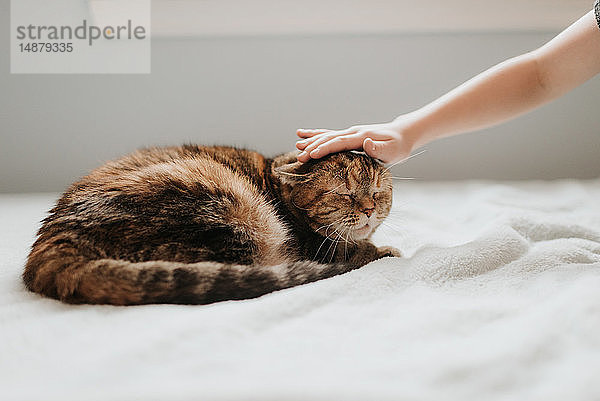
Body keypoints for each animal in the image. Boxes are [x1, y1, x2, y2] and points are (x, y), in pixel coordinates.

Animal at [23, 144, 400, 304]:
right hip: (225, 207)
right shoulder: (320, 247)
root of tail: (54, 239)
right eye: (343, 193)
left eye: (378, 192)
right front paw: (384, 251)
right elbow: (359, 251)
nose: (369, 209)